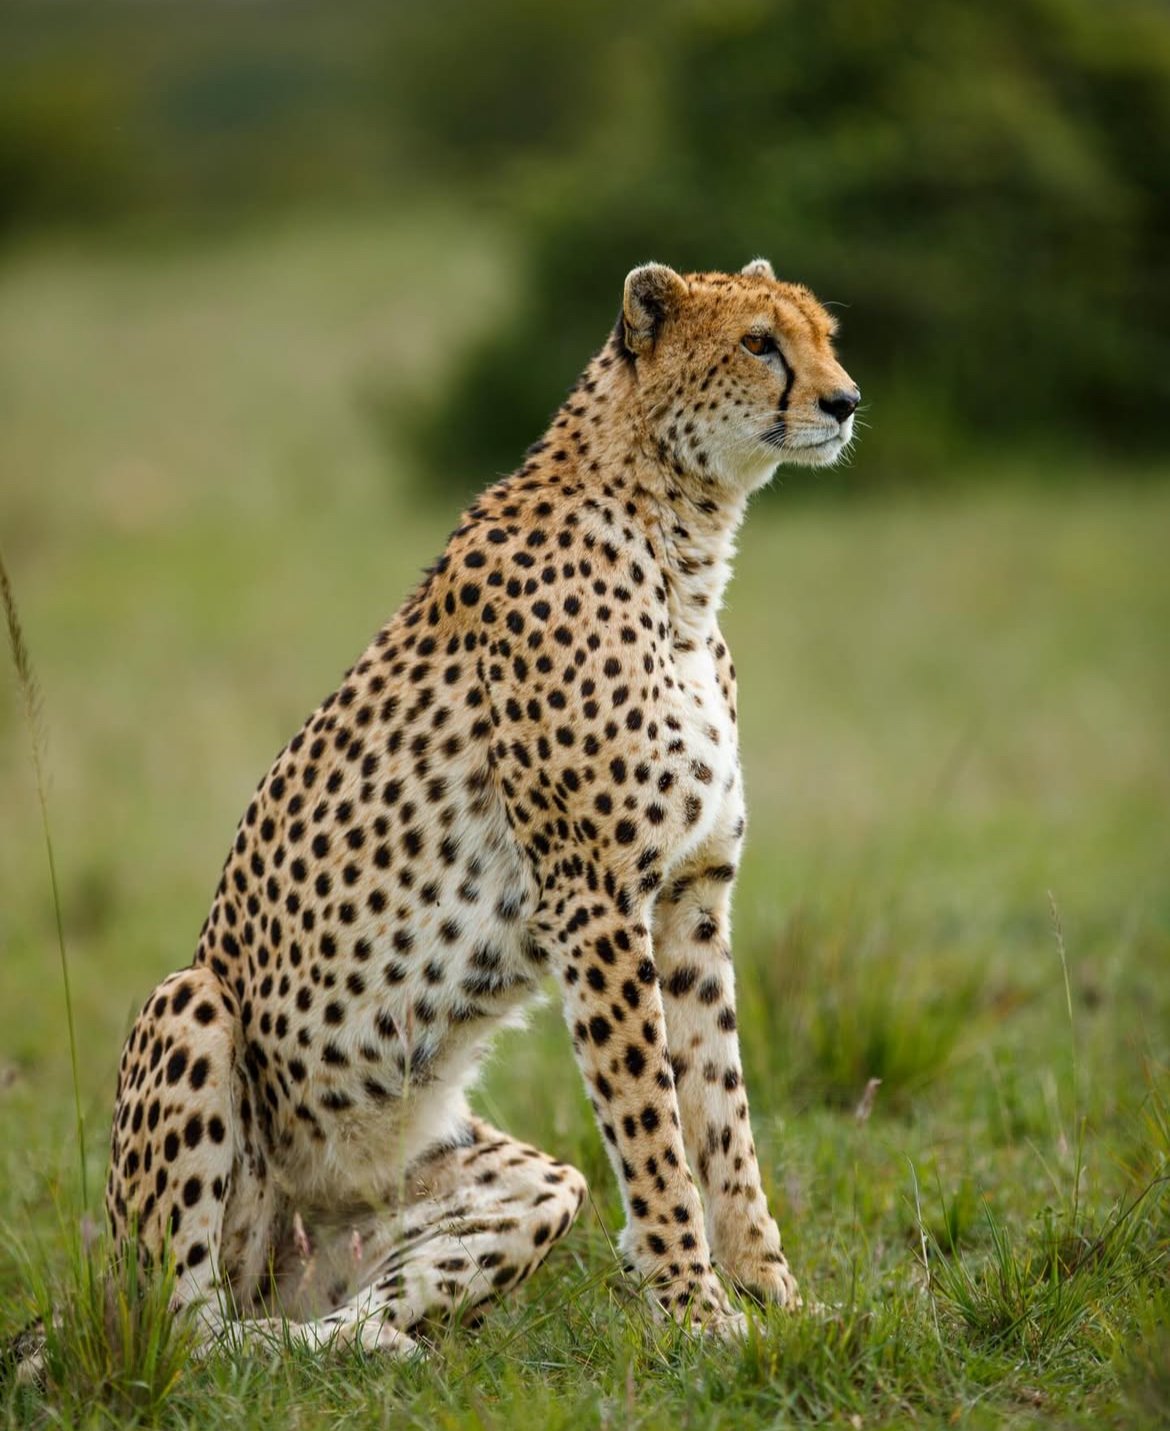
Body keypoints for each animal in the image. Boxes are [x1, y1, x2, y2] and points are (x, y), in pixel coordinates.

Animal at [97, 256, 859, 1357]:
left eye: (825, 336)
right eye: (760, 342)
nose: (846, 401)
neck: (682, 541)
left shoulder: (692, 896)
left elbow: (721, 1115)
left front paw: (778, 1301)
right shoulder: (594, 902)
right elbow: (653, 1125)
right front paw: (696, 1314)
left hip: (515, 1188)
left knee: (331, 1322)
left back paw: (374, 1346)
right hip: (188, 1010)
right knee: (186, 1335)